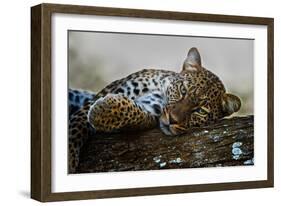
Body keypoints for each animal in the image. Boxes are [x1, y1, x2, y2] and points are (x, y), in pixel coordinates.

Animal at [68, 47, 241, 173]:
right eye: (183, 90)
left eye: (201, 111)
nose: (172, 120)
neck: (159, 90)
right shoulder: (97, 98)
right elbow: (76, 128)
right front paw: (69, 160)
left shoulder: (150, 113)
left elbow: (134, 114)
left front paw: (103, 111)